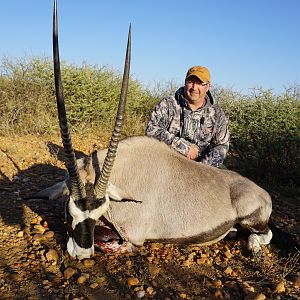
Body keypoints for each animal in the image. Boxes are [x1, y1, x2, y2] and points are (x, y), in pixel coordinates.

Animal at [48, 0, 274, 260]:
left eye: (98, 213)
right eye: (71, 212)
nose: (82, 253)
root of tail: (263, 193)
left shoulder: (131, 235)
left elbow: (114, 242)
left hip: (252, 219)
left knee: (264, 234)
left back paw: (253, 248)